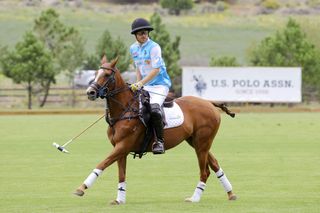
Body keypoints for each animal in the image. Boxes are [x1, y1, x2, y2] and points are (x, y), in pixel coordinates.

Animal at [74, 56, 236, 203]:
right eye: (96, 73)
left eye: (107, 75)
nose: (90, 92)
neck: (124, 111)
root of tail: (209, 103)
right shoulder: (120, 148)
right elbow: (121, 174)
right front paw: (119, 199)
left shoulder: (123, 145)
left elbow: (102, 163)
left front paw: (81, 188)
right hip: (196, 141)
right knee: (214, 164)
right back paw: (230, 193)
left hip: (202, 142)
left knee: (205, 171)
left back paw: (195, 198)